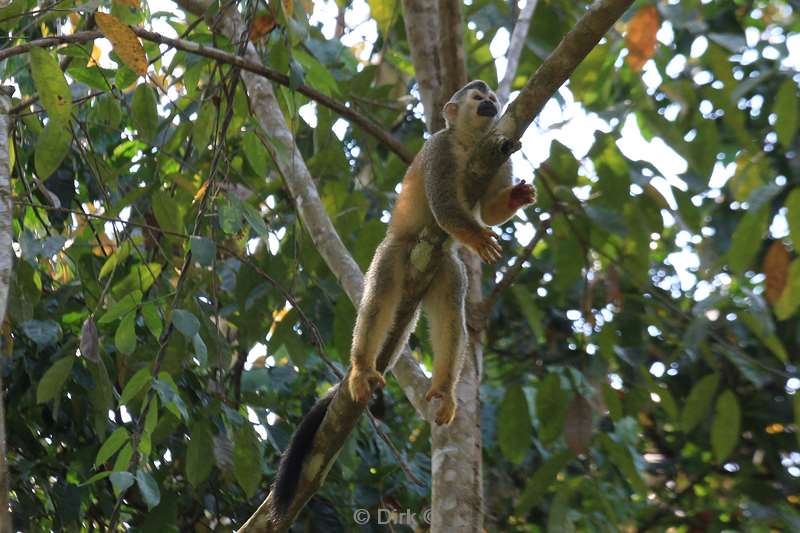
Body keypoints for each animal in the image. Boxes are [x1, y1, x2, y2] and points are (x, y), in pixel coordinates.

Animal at [270, 80, 536, 516]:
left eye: (491, 99)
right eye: (478, 99)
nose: (491, 104)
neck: (470, 143)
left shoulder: (501, 150)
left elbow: (490, 209)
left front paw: (515, 198)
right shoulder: (440, 150)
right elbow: (445, 208)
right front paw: (477, 236)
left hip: (444, 268)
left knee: (451, 312)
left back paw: (443, 389)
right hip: (393, 253)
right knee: (379, 298)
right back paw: (361, 367)